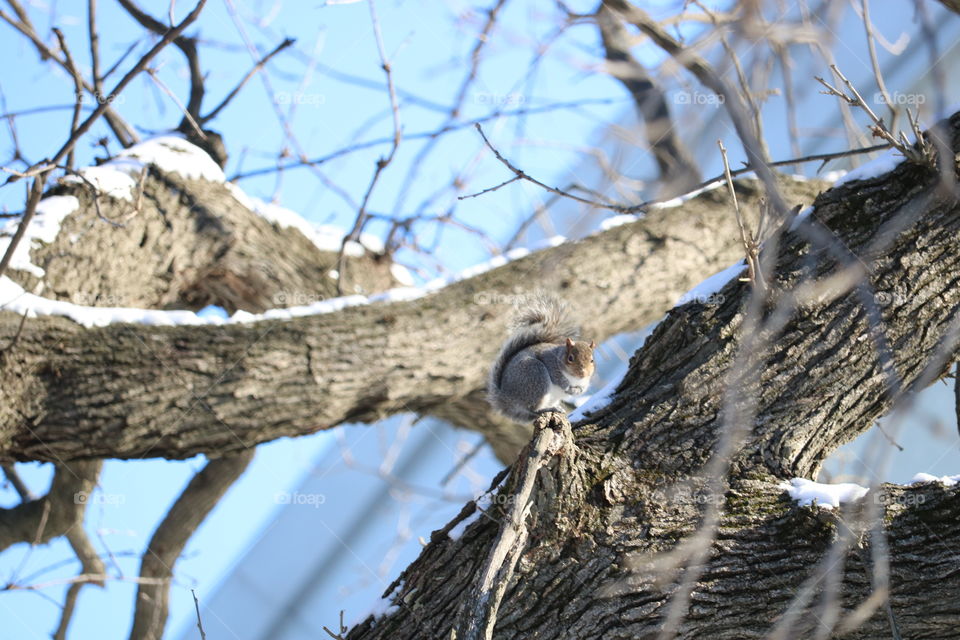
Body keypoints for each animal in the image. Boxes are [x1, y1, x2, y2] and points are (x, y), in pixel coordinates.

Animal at [487, 293, 596, 423]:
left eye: (592, 360)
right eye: (570, 358)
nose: (583, 373)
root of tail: (506, 398)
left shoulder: (585, 381)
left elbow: (582, 388)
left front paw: (577, 390)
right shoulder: (548, 360)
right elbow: (558, 378)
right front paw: (566, 386)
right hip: (535, 375)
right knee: (533, 409)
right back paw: (551, 408)